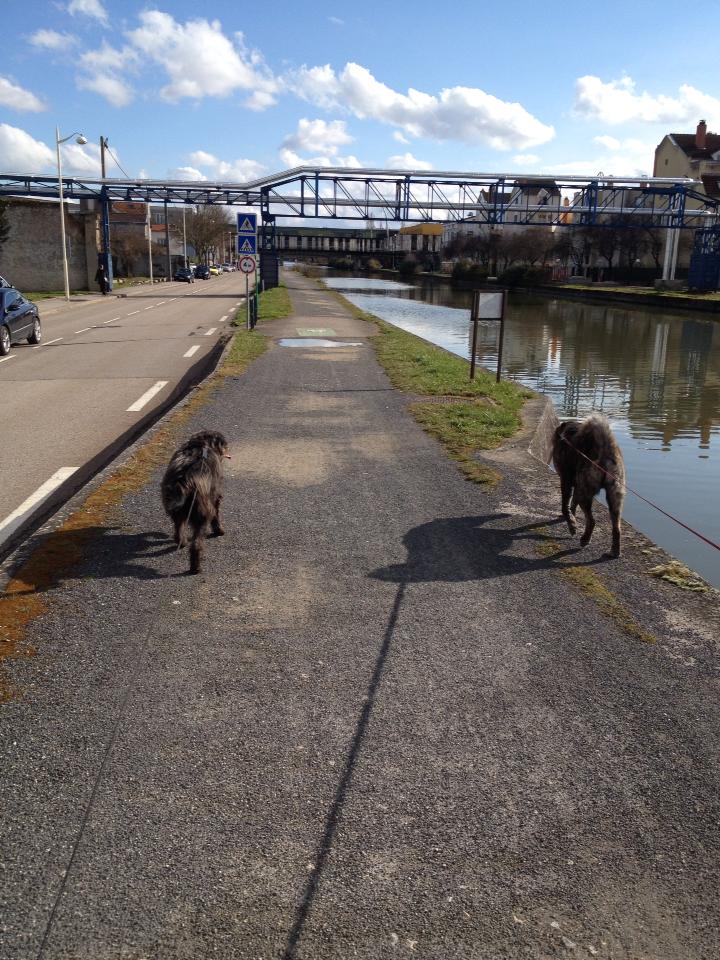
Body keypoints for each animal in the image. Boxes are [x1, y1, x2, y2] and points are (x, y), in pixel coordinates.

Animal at [162, 432, 231, 572]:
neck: (203, 444)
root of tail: (184, 480)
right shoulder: (216, 494)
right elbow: (216, 515)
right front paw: (219, 530)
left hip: (177, 511)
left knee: (178, 529)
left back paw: (182, 542)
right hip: (202, 515)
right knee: (196, 544)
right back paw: (196, 567)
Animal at [552, 410, 624, 556]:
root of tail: (604, 448)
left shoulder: (566, 481)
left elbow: (565, 506)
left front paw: (572, 525)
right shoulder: (576, 486)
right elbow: (572, 505)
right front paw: (571, 518)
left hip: (584, 493)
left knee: (591, 521)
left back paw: (585, 539)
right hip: (615, 496)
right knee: (616, 528)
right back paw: (614, 551)